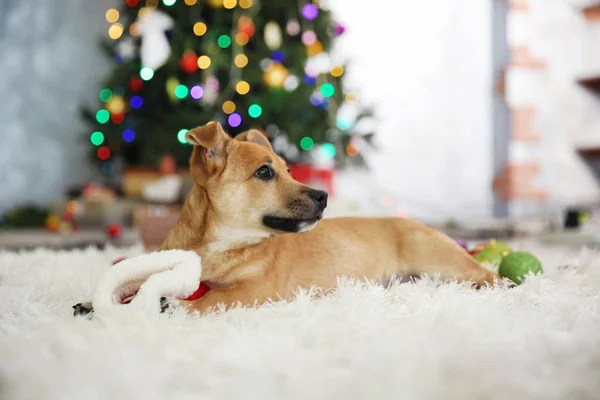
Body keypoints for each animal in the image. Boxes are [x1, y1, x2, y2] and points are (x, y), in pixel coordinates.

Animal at [74, 120, 502, 318]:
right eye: (265, 172)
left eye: (289, 169)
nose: (323, 196)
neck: (217, 247)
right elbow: (134, 283)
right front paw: (94, 304)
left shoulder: (256, 290)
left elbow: (212, 298)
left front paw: (171, 306)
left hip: (439, 259)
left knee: (488, 276)